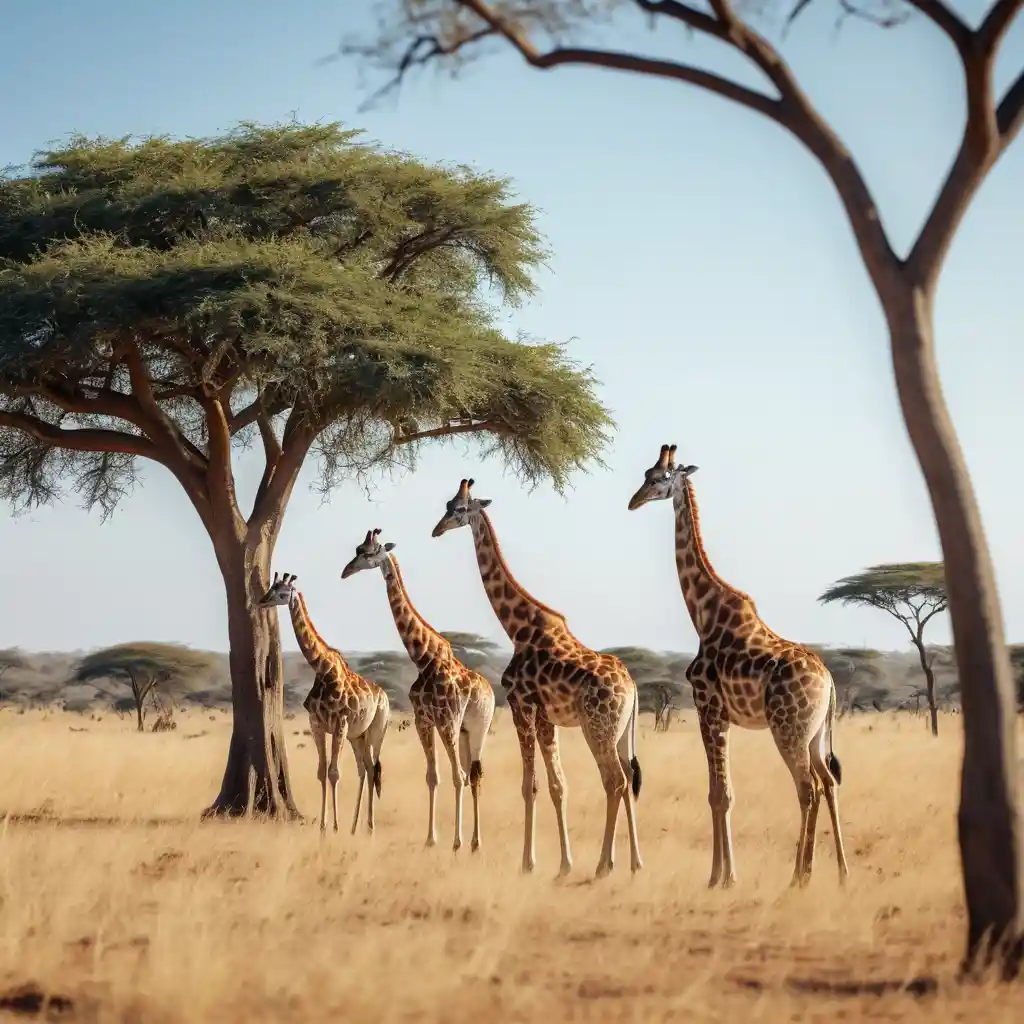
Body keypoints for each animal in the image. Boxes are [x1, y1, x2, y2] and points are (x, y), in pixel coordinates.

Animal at [259, 572, 390, 835]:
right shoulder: (317, 723)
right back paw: (355, 826)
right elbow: (321, 772)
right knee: (365, 769)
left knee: (373, 768)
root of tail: (384, 695)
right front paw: (323, 825)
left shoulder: (339, 723)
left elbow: (334, 773)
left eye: (281, 592)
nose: (262, 601)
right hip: (357, 736)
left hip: (376, 730)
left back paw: (369, 826)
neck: (322, 668)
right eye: (271, 587)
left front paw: (335, 826)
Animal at [341, 528, 496, 853]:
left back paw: (468, 843)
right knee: (472, 773)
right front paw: (430, 838)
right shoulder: (424, 720)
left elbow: (450, 777)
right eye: (357, 548)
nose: (345, 571)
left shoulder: (441, 721)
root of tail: (489, 692)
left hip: (471, 728)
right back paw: (475, 842)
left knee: (468, 775)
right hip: (468, 731)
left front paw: (449, 841)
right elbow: (432, 776)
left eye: (367, 552)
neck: (424, 657)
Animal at [431, 478, 643, 879]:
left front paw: (529, 863)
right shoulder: (546, 715)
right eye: (447, 504)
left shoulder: (521, 704)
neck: (518, 628)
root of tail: (634, 688)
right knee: (627, 779)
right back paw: (635, 863)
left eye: (461, 510)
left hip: (598, 727)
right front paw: (562, 864)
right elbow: (557, 785)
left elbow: (530, 785)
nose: (436, 529)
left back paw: (603, 865)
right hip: (622, 732)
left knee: (616, 781)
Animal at [628, 444, 850, 888]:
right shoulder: (722, 716)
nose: (633, 501)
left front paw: (721, 877)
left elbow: (719, 793)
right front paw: (723, 873)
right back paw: (839, 872)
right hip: (816, 733)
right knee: (830, 783)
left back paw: (800, 876)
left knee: (808, 788)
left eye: (659, 479)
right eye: (644, 473)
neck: (703, 613)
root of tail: (830, 682)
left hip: (788, 729)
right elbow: (722, 793)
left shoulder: (708, 707)